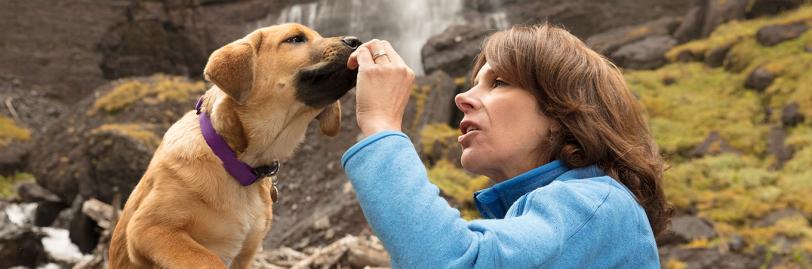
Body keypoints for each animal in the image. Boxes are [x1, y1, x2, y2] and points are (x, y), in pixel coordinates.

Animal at [108, 24, 362, 266]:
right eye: (295, 39)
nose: (356, 41)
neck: (236, 161)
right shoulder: (149, 228)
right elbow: (206, 259)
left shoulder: (246, 253)